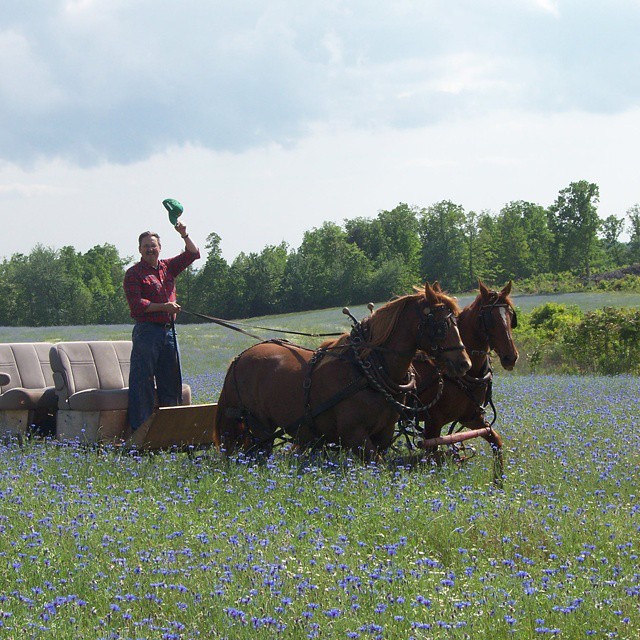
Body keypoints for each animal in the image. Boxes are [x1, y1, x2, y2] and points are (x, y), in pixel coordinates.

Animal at [218, 282, 472, 458]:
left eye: (457, 322)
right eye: (441, 327)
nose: (464, 363)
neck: (366, 373)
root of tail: (240, 357)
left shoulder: (384, 433)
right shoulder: (355, 435)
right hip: (259, 425)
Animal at [410, 282, 520, 480]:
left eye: (510, 317)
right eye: (489, 319)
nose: (511, 357)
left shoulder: (472, 417)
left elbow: (497, 442)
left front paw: (499, 482)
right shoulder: (433, 424)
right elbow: (431, 456)